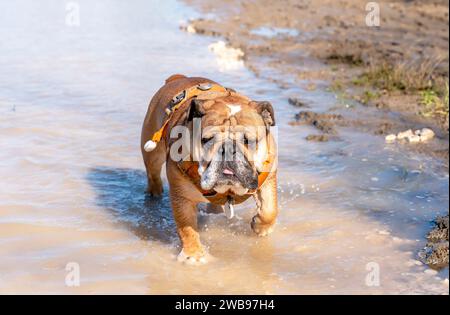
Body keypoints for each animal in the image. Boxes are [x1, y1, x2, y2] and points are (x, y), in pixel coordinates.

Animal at [141, 74, 278, 264]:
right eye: (207, 140)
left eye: (248, 140)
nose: (228, 149)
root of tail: (178, 78)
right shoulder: (181, 196)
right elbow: (187, 227)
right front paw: (193, 255)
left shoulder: (268, 176)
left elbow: (270, 208)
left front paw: (260, 226)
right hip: (153, 152)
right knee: (153, 173)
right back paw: (154, 193)